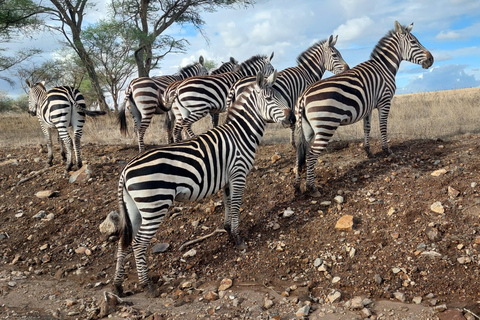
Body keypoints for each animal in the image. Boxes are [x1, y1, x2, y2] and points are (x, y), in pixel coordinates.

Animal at [112, 70, 294, 298]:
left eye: (283, 97)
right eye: (270, 99)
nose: (292, 117)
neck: (241, 134)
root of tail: (125, 171)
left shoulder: (227, 178)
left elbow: (227, 203)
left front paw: (227, 230)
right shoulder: (239, 174)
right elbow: (236, 206)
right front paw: (238, 239)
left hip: (134, 209)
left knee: (123, 241)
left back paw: (117, 286)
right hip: (155, 204)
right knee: (138, 243)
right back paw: (148, 286)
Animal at [294, 21, 434, 196]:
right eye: (414, 42)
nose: (431, 59)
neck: (385, 67)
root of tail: (304, 96)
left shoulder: (368, 107)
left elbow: (367, 128)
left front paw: (368, 151)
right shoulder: (385, 101)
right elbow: (382, 127)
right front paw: (387, 150)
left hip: (307, 128)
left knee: (301, 153)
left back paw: (297, 187)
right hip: (326, 125)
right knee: (312, 153)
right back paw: (312, 187)